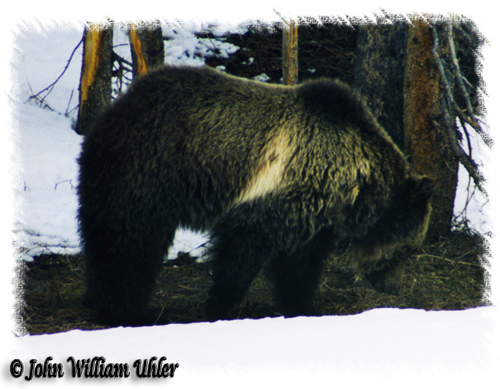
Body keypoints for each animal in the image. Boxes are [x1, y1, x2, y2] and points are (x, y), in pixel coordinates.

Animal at [78, 66, 434, 324]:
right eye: (405, 250)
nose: (394, 287)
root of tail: (114, 109)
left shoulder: (313, 216)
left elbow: (299, 264)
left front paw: (302, 306)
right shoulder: (276, 194)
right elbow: (242, 251)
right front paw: (219, 305)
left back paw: (97, 297)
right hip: (147, 172)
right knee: (129, 241)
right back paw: (124, 309)